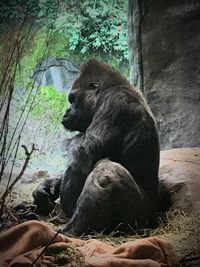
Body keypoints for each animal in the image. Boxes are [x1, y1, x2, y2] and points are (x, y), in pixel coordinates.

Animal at [33, 60, 161, 237]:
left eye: (72, 100)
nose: (66, 111)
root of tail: (153, 218)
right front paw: (46, 186)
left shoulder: (114, 102)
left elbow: (83, 155)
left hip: (139, 219)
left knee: (106, 170)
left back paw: (73, 229)